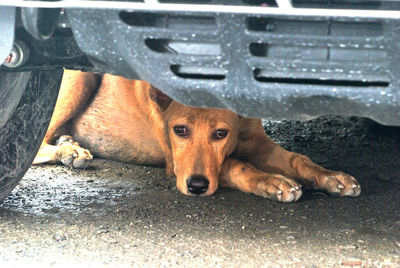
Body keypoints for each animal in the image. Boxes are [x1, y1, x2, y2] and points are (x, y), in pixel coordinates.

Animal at [32, 70, 360, 202]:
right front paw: (272, 182)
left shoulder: (256, 140)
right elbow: (235, 164)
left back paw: (68, 144)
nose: (197, 187)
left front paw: (331, 176)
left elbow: (297, 159)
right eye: (179, 130)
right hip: (78, 77)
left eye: (220, 133)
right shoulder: (175, 164)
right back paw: (69, 151)